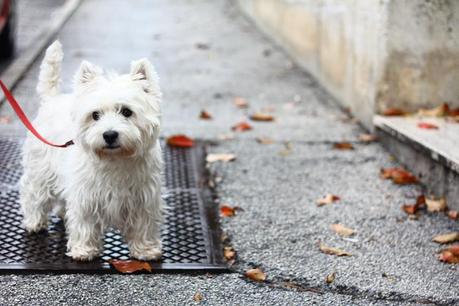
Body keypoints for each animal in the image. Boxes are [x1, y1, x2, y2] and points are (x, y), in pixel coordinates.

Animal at [20, 40, 164, 260]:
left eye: (127, 112)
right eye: (95, 115)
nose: (109, 135)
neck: (116, 159)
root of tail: (51, 100)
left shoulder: (144, 199)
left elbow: (143, 225)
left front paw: (145, 250)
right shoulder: (86, 196)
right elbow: (84, 223)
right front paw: (84, 250)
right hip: (40, 171)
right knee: (33, 194)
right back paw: (35, 222)